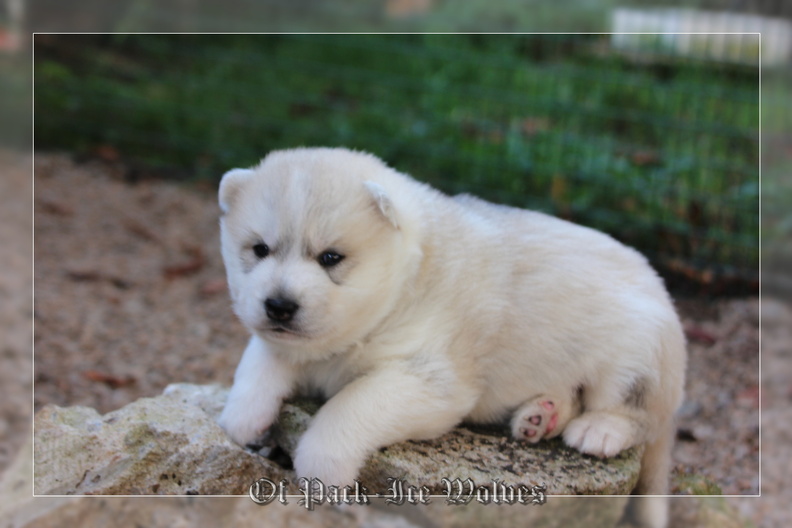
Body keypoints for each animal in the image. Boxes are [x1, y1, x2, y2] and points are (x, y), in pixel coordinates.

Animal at [218, 148, 688, 528]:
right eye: (259, 249)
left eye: (330, 257)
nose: (279, 305)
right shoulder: (287, 343)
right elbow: (260, 360)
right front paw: (242, 416)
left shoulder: (430, 378)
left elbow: (353, 403)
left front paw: (321, 464)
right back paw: (540, 416)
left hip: (637, 353)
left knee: (639, 415)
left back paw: (597, 430)